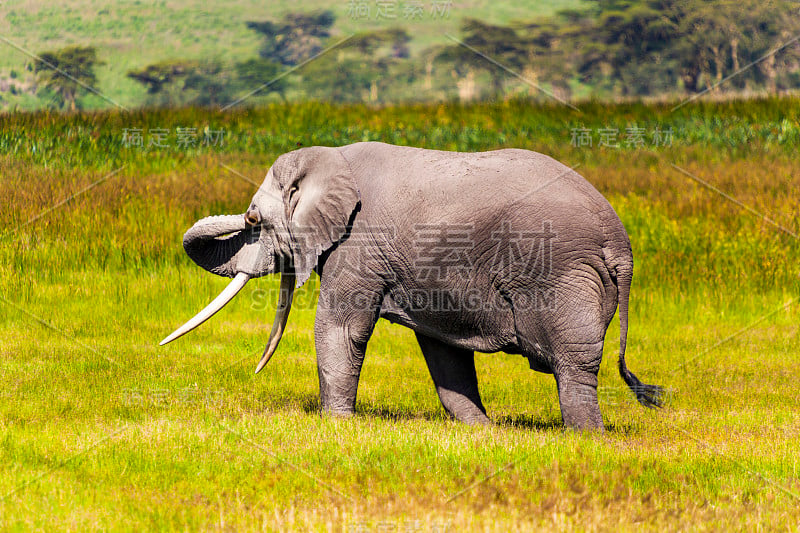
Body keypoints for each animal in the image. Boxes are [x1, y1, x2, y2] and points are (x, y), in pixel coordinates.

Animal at [159, 140, 660, 428]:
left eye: (252, 219)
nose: (254, 372)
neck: (329, 158)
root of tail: (620, 243)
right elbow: (442, 348)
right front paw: (481, 433)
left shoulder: (360, 240)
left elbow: (341, 327)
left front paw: (337, 427)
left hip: (560, 271)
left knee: (574, 359)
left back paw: (586, 438)